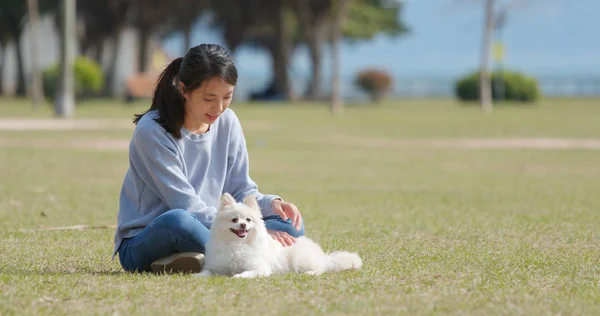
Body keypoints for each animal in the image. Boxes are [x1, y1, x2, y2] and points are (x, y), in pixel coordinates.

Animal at [197, 191, 364, 278]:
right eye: (234, 220)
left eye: (248, 220)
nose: (243, 225)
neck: (236, 245)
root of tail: (323, 256)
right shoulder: (217, 266)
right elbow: (206, 272)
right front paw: (196, 275)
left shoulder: (260, 268)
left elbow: (245, 273)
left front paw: (237, 276)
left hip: (300, 259)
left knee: (320, 269)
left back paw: (309, 273)